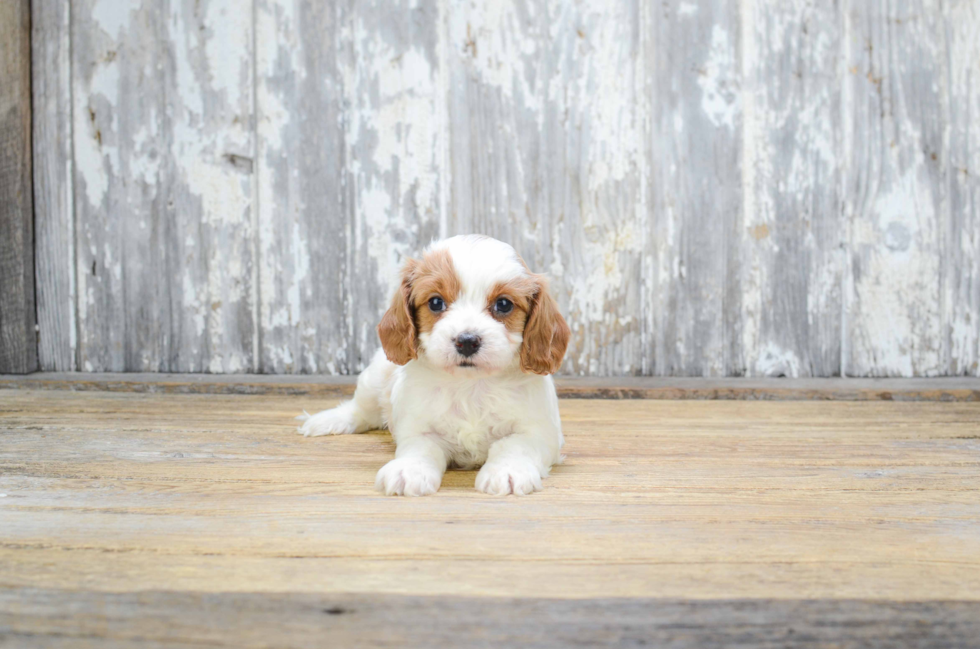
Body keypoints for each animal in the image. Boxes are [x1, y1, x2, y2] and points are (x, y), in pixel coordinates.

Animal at [294, 235, 568, 494]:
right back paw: (327, 420)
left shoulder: (538, 432)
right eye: (436, 302)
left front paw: (507, 472)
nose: (467, 341)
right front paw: (408, 470)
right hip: (375, 377)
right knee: (360, 410)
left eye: (503, 304)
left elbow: (515, 446)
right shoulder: (420, 430)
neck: (471, 386)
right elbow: (419, 449)